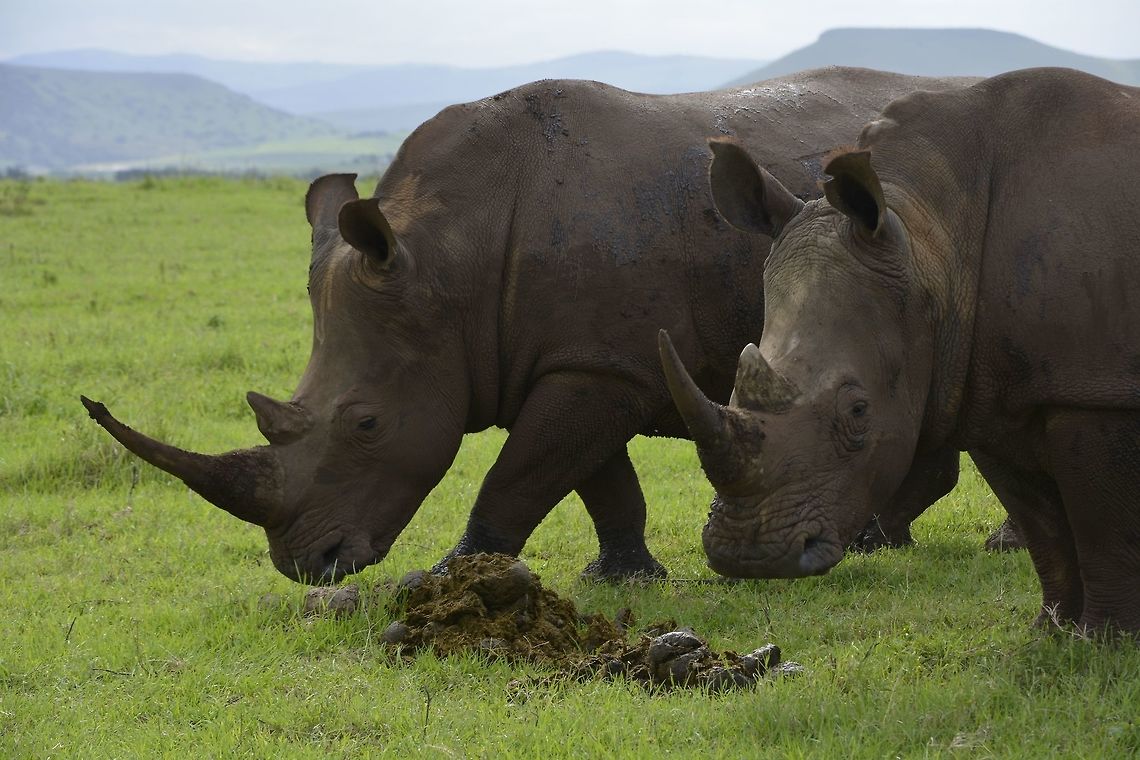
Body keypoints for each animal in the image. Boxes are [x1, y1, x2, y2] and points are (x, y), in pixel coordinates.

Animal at [83, 67, 969, 585]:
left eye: (366, 424)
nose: (309, 567)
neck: (444, 260)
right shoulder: (585, 359)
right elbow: (597, 480)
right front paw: (624, 578)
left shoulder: (598, 366)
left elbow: (518, 476)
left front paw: (443, 580)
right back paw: (875, 540)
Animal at [660, 68, 1140, 632]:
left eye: (858, 411)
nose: (748, 556)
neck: (929, 233)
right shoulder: (991, 387)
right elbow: (1045, 527)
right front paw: (1053, 632)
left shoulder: (1092, 387)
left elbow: (1102, 529)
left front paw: (1105, 639)